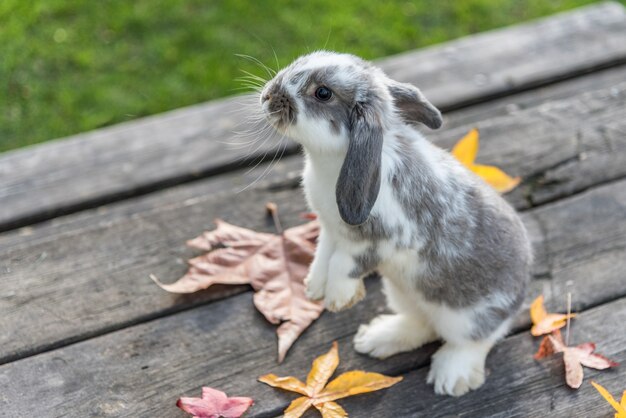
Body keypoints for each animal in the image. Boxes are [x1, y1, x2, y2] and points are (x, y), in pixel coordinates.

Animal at [258, 50, 532, 396]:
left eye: (322, 93)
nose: (268, 96)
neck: (334, 159)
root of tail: (521, 290)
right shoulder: (330, 231)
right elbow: (322, 257)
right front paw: (313, 288)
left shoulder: (379, 241)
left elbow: (343, 264)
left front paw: (337, 299)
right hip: (402, 293)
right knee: (422, 323)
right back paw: (376, 338)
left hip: (468, 316)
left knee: (476, 339)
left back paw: (450, 377)